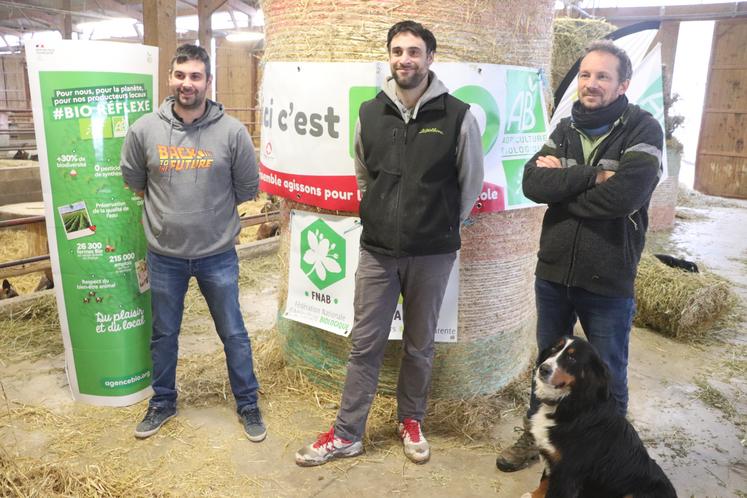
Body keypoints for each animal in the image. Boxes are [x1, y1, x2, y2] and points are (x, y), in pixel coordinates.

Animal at [520, 334, 676, 498]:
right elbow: (544, 479)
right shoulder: (552, 456)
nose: (543, 369)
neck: (572, 403)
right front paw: (534, 495)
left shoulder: (567, 471)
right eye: (554, 349)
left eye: (572, 358)